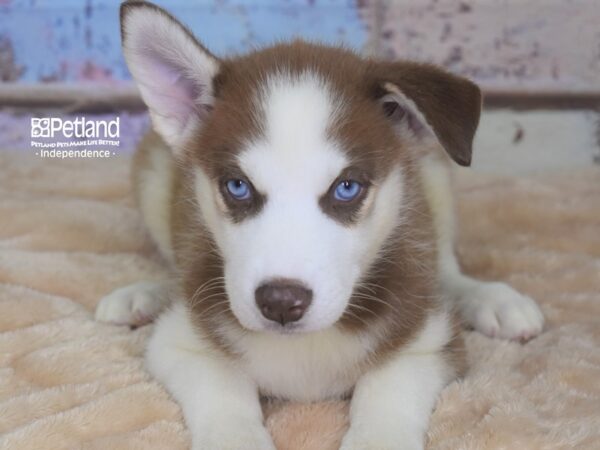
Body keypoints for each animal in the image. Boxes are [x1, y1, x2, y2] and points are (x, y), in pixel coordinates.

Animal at [96, 1, 548, 448]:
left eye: (346, 188)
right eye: (237, 186)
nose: (281, 302)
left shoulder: (428, 342)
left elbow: (385, 392)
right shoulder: (179, 343)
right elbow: (224, 389)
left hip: (434, 175)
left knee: (446, 268)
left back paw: (493, 299)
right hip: (154, 169)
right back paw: (145, 295)